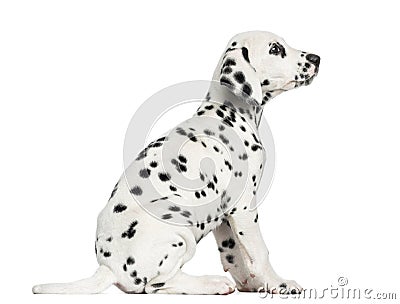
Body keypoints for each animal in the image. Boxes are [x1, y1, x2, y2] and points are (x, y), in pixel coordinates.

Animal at [32, 30, 320, 294]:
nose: (316, 58)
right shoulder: (245, 207)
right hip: (179, 228)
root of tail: (108, 268)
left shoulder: (225, 215)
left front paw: (251, 283)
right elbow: (260, 252)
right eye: (275, 49)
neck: (228, 113)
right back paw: (211, 283)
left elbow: (234, 253)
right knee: (156, 285)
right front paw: (278, 284)